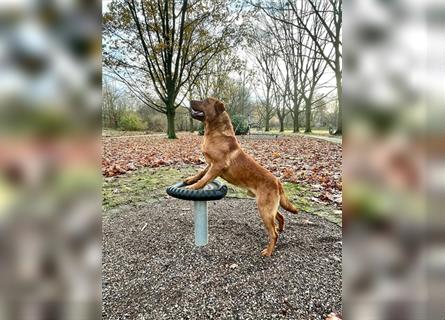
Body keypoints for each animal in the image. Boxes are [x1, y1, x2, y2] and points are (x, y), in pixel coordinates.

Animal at [184, 96, 298, 256]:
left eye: (205, 101)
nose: (190, 100)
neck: (215, 132)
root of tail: (277, 181)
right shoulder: (210, 165)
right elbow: (201, 173)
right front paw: (191, 179)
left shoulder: (217, 166)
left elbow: (204, 179)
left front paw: (194, 187)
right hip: (270, 208)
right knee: (281, 218)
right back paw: (281, 230)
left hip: (264, 209)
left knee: (273, 233)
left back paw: (268, 251)